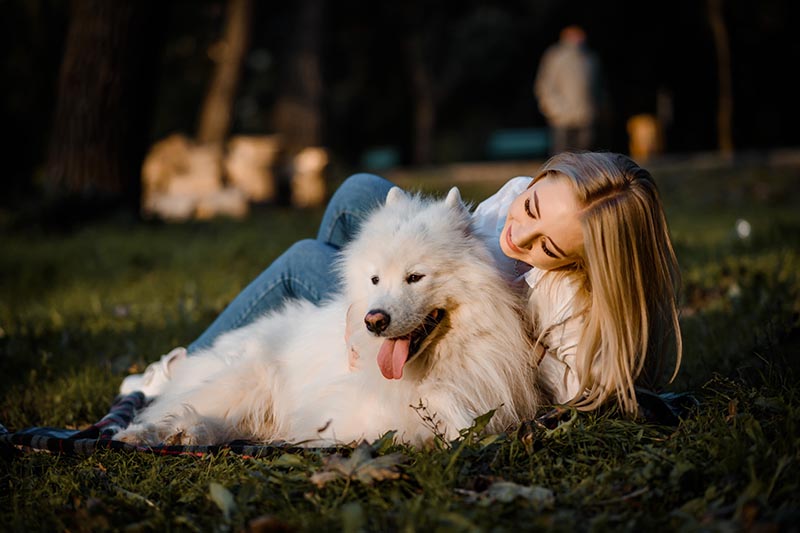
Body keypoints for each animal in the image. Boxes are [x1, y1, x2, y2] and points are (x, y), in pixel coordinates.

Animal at [115, 185, 540, 446]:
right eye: (374, 279)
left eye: (415, 277)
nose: (374, 321)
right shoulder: (350, 418)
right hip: (245, 382)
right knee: (177, 408)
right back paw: (144, 433)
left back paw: (189, 433)